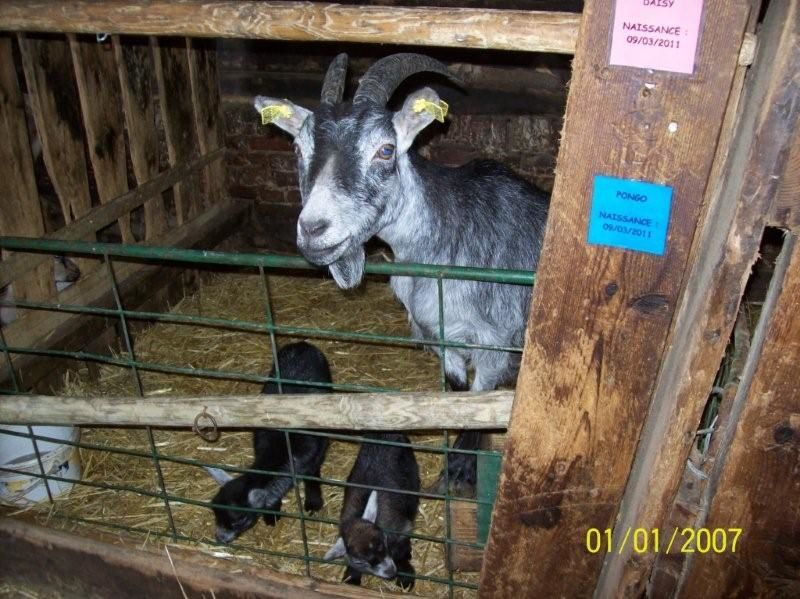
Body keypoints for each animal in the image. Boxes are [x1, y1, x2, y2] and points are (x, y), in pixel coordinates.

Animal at [256, 52, 552, 492]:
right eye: (297, 147)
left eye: (385, 150)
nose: (313, 229)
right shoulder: (436, 334)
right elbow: (456, 392)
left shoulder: (494, 341)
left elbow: (478, 399)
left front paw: (459, 470)